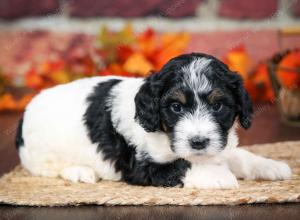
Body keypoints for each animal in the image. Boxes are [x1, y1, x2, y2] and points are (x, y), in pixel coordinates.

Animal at [15, 52, 290, 188]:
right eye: (176, 107)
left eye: (218, 105)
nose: (198, 142)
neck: (164, 133)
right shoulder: (140, 165)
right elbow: (182, 165)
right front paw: (219, 176)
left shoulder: (218, 146)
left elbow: (238, 155)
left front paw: (272, 166)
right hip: (43, 155)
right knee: (50, 169)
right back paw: (81, 172)